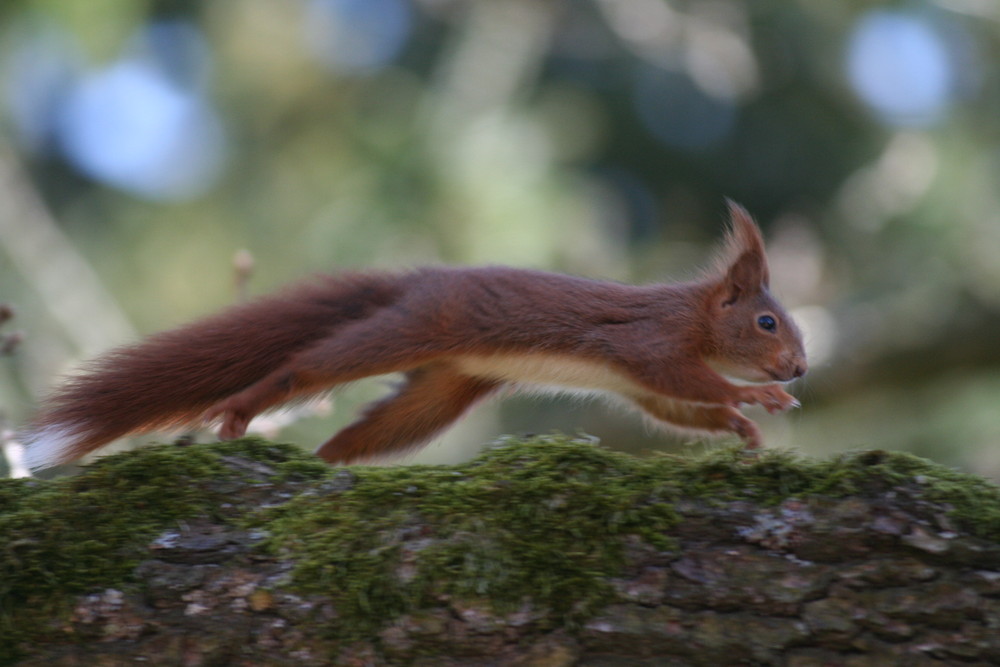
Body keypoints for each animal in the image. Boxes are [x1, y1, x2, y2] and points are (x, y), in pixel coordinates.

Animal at [21, 201, 804, 472]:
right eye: (767, 321)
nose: (797, 367)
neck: (698, 317)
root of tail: (418, 280)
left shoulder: (642, 384)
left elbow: (677, 407)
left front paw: (742, 426)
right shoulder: (648, 342)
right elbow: (686, 380)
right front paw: (755, 398)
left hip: (440, 390)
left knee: (366, 433)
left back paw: (329, 465)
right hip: (413, 329)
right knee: (303, 370)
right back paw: (242, 410)